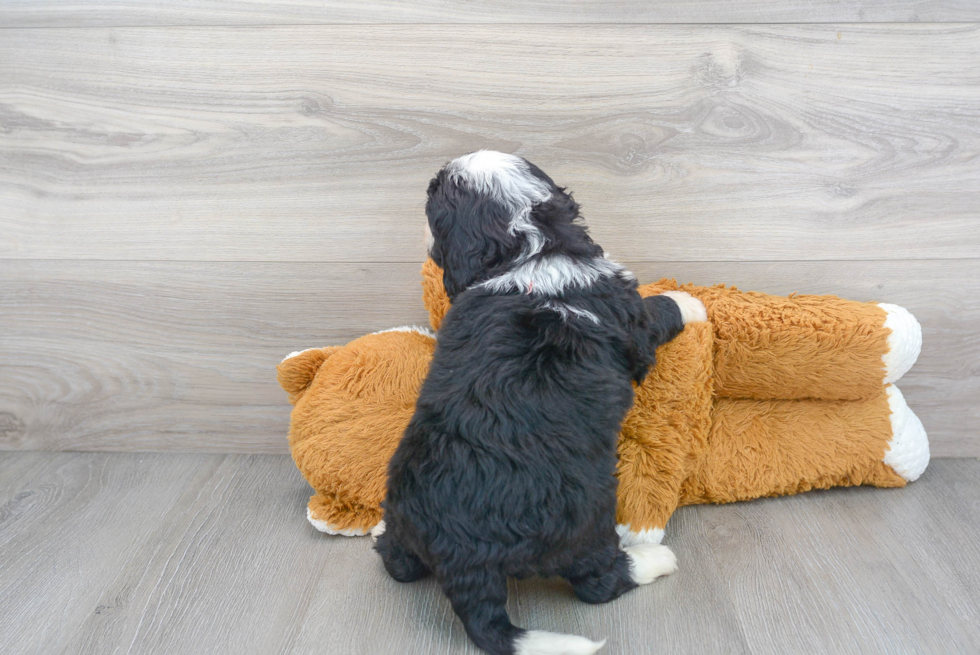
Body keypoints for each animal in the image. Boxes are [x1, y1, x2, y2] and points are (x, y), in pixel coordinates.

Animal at [374, 151, 704, 652]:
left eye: (432, 199)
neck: (530, 248)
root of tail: (459, 555)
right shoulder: (632, 317)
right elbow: (659, 309)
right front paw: (690, 301)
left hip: (405, 510)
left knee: (398, 564)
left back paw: (379, 533)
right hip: (584, 522)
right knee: (597, 582)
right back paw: (652, 559)